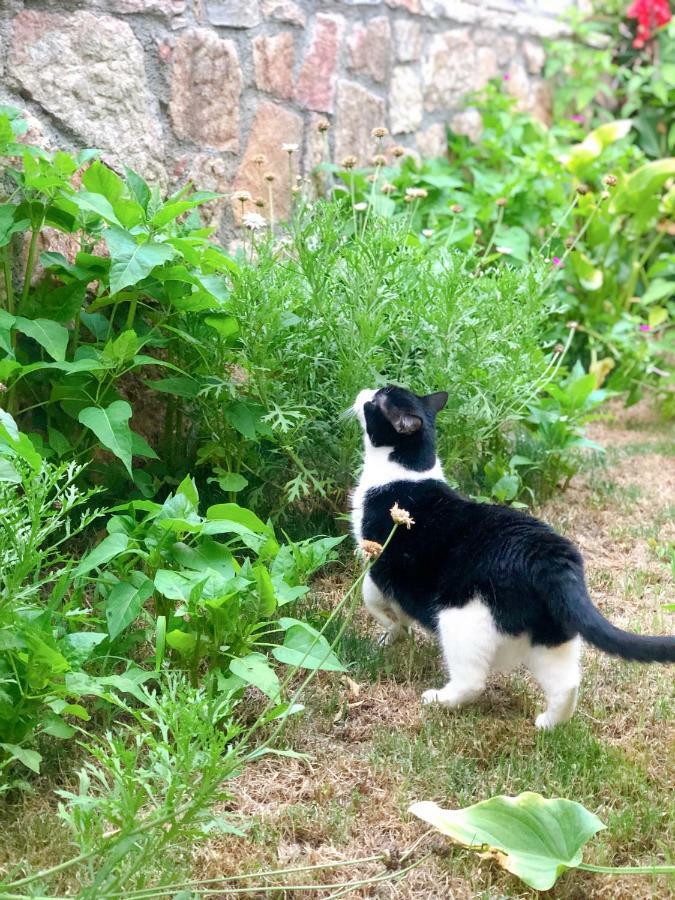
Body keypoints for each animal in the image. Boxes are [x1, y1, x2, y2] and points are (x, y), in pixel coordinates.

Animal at [354, 384, 675, 728]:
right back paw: (548, 725)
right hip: (552, 632)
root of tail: (550, 556)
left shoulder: (378, 562)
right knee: (567, 684)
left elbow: (372, 599)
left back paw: (439, 700)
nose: (364, 390)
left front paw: (392, 631)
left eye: (378, 398)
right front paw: (398, 633)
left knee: (472, 680)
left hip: (460, 618)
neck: (406, 471)